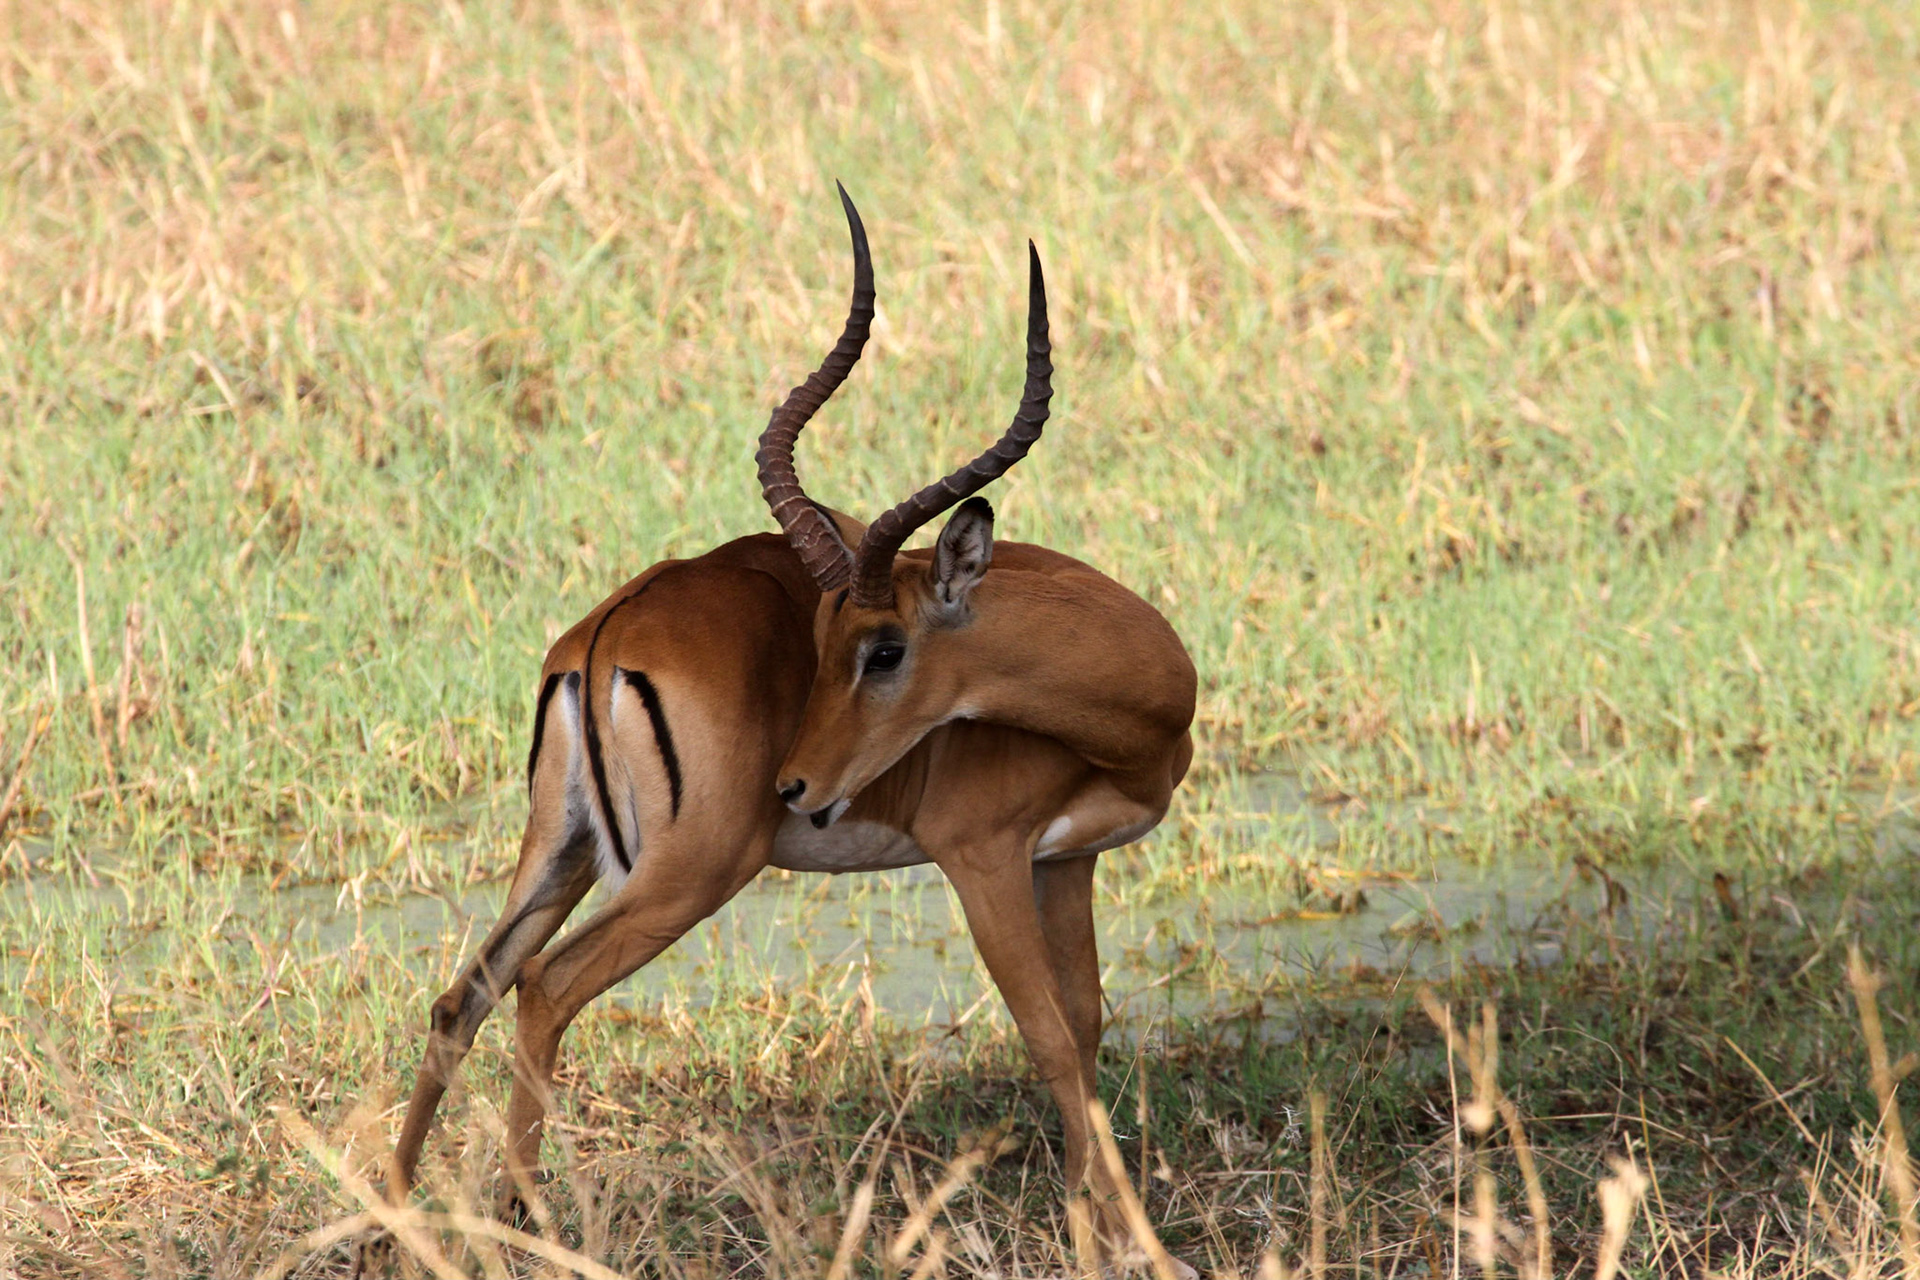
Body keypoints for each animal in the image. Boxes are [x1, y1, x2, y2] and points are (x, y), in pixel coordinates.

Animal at [371, 187, 1197, 1271]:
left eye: (881, 647)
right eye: (820, 642)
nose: (799, 788)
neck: (1133, 715)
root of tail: (603, 633)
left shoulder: (1070, 858)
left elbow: (1090, 1026)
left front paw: (1100, 1229)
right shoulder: (981, 855)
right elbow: (1052, 1038)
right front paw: (1127, 1246)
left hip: (563, 850)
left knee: (464, 992)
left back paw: (391, 1217)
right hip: (691, 871)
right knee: (545, 987)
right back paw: (528, 1227)